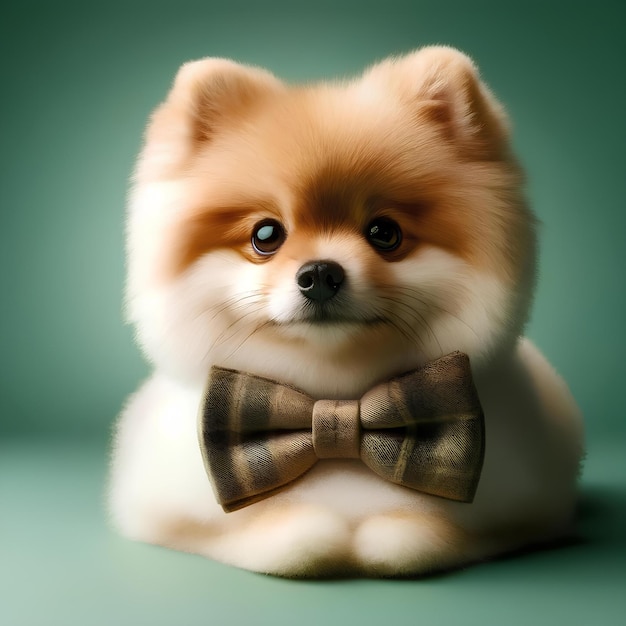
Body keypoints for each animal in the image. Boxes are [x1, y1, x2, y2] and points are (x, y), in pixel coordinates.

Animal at [107, 47, 580, 576]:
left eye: (385, 233)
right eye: (266, 235)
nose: (320, 273)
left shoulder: (526, 512)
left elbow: (443, 533)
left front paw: (397, 532)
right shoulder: (163, 510)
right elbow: (240, 532)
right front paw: (300, 530)